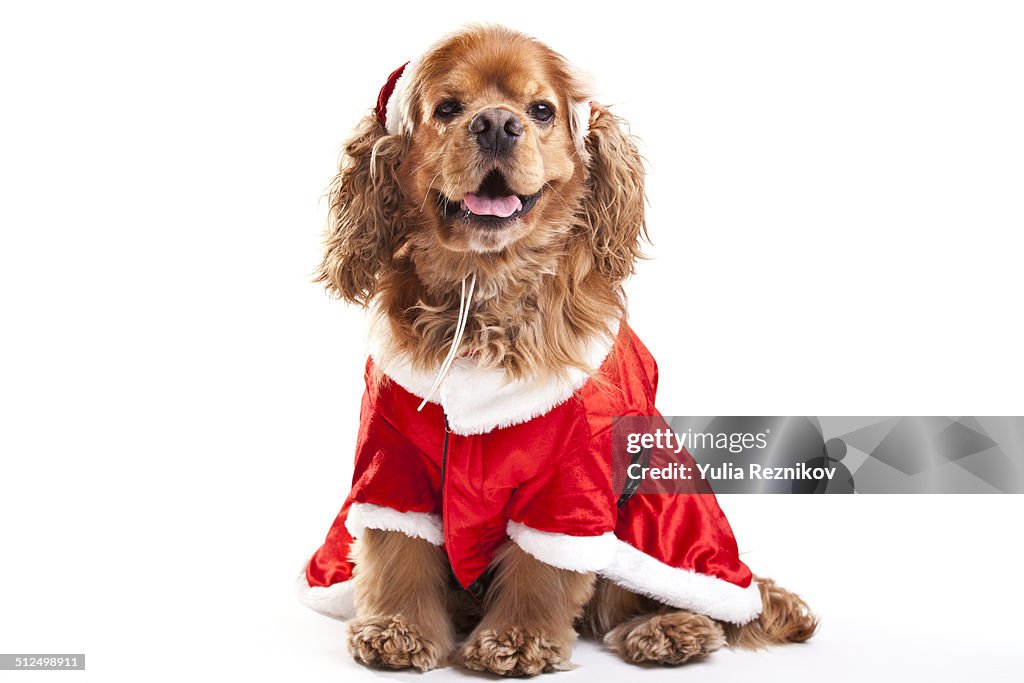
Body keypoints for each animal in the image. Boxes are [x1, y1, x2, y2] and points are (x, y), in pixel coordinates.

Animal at [296, 24, 815, 675]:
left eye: (541, 110)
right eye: (447, 108)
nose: (497, 123)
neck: (484, 294)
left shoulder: (572, 479)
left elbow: (542, 568)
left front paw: (516, 640)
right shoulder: (392, 460)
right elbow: (398, 550)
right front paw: (399, 630)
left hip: (660, 513)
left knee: (673, 599)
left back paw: (671, 630)